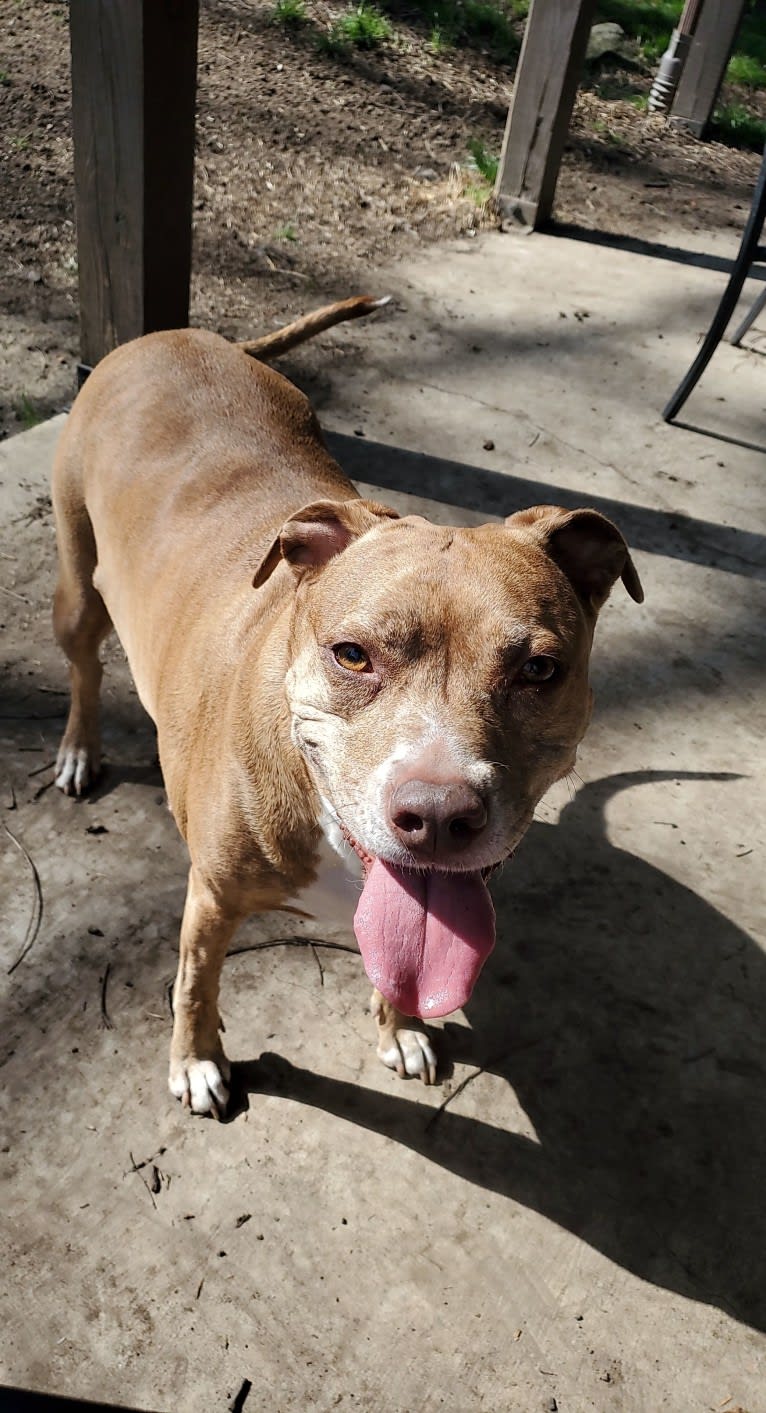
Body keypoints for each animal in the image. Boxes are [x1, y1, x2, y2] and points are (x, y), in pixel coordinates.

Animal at [50, 298, 644, 1113]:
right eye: (353, 655)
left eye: (539, 669)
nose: (438, 816)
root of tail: (173, 336)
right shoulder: (210, 898)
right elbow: (195, 984)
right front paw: (196, 1061)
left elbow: (399, 963)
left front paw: (401, 1027)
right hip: (78, 589)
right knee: (83, 667)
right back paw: (79, 750)